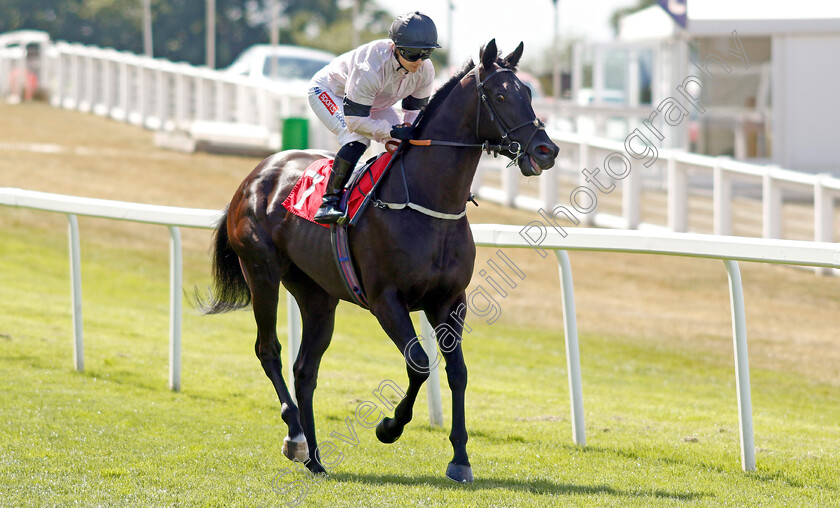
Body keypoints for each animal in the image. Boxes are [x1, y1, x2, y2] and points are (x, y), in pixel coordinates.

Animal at [201, 40, 560, 484]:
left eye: (528, 92)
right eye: (499, 95)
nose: (546, 150)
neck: (427, 203)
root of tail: (254, 176)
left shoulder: (450, 300)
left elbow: (457, 371)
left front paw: (460, 459)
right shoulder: (385, 299)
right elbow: (419, 364)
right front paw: (389, 427)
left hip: (317, 295)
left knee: (305, 369)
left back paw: (315, 458)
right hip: (261, 273)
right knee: (269, 350)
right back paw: (296, 438)